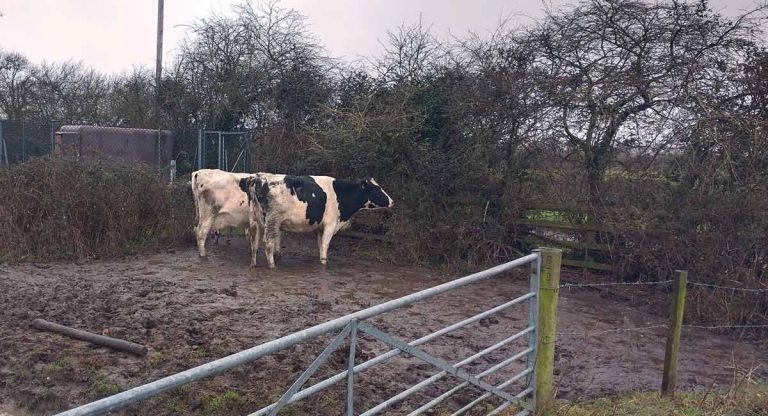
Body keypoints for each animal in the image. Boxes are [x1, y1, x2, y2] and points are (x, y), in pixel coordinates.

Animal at [241, 174, 394, 268]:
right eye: (377, 189)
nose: (392, 201)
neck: (340, 193)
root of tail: (258, 179)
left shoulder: (320, 228)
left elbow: (320, 245)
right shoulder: (330, 224)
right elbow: (325, 245)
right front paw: (324, 262)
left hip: (254, 221)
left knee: (253, 242)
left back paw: (253, 263)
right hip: (272, 221)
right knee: (268, 244)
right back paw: (272, 265)